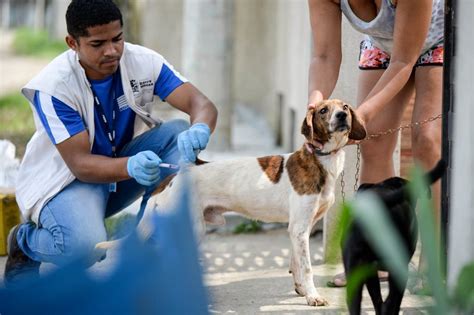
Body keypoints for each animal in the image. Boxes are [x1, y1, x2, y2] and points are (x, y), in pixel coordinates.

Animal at [98, 100, 366, 308]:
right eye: (323, 110)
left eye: (344, 106)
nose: (342, 115)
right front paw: (313, 296)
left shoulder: (301, 228)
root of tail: (172, 176)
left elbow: (296, 263)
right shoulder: (299, 228)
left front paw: (301, 289)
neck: (321, 159)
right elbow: (308, 267)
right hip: (188, 228)